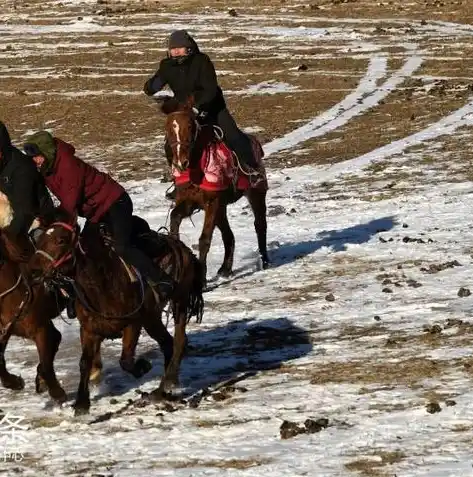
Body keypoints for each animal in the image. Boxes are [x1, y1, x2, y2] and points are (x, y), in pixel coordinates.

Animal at [29, 208, 203, 412]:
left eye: (61, 240)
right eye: (39, 240)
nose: (33, 271)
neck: (102, 283)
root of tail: (182, 248)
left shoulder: (133, 324)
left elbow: (126, 360)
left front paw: (143, 366)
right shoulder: (89, 330)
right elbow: (84, 363)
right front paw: (81, 403)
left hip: (179, 301)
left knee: (178, 341)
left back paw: (167, 382)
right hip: (152, 318)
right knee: (168, 343)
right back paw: (164, 386)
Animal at [159, 96, 270, 282]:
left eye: (190, 126)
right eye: (168, 128)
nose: (181, 163)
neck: (197, 168)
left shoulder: (212, 202)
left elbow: (205, 239)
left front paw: (202, 281)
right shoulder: (189, 202)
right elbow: (174, 218)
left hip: (255, 194)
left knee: (260, 225)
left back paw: (265, 261)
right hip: (221, 208)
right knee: (229, 235)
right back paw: (225, 268)